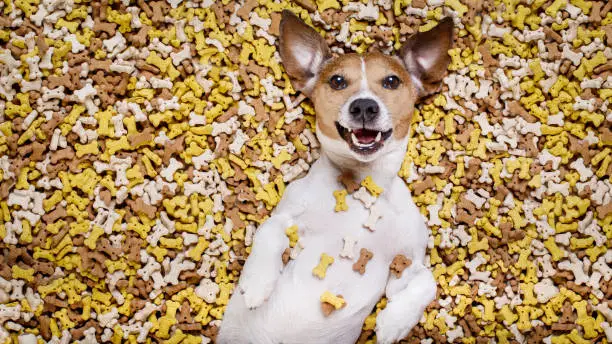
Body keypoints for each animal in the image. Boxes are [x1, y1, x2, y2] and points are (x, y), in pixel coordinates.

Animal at [219, 10, 454, 344]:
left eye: (392, 81)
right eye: (338, 81)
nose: (364, 105)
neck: (362, 184)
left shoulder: (407, 261)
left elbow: (428, 281)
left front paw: (394, 323)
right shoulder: (286, 214)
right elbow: (268, 231)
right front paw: (256, 284)